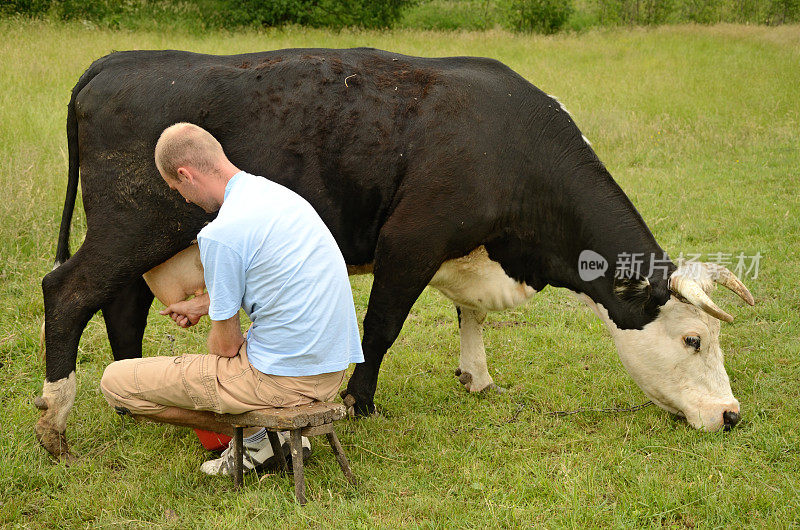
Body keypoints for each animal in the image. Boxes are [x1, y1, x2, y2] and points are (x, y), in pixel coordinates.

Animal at [36, 48, 752, 458]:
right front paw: (360, 402)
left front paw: (476, 375)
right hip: (131, 227)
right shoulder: (412, 239)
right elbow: (379, 328)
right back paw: (56, 420)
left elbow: (471, 317)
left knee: (120, 307)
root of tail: (115, 61)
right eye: (693, 339)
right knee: (67, 293)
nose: (731, 415)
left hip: (142, 242)